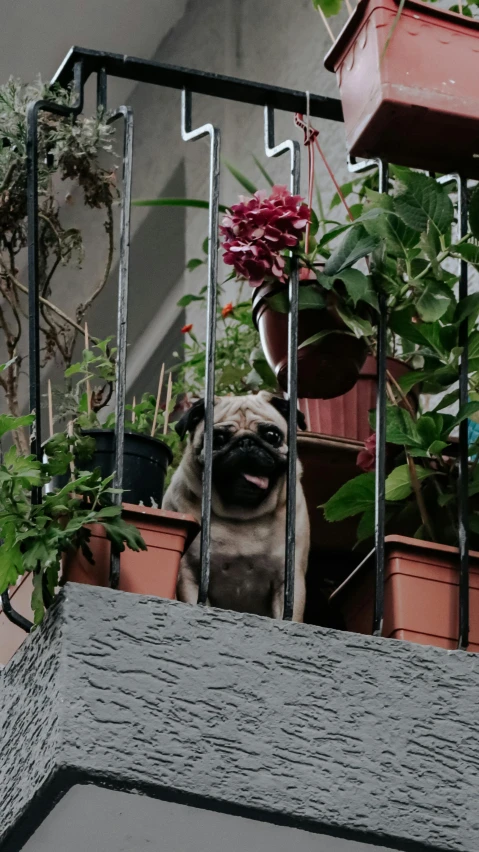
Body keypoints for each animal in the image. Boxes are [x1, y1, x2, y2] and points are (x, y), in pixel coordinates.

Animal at [163, 392, 310, 620]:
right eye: (218, 439)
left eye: (272, 435)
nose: (246, 442)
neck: (241, 515)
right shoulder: (189, 576)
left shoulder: (289, 583)